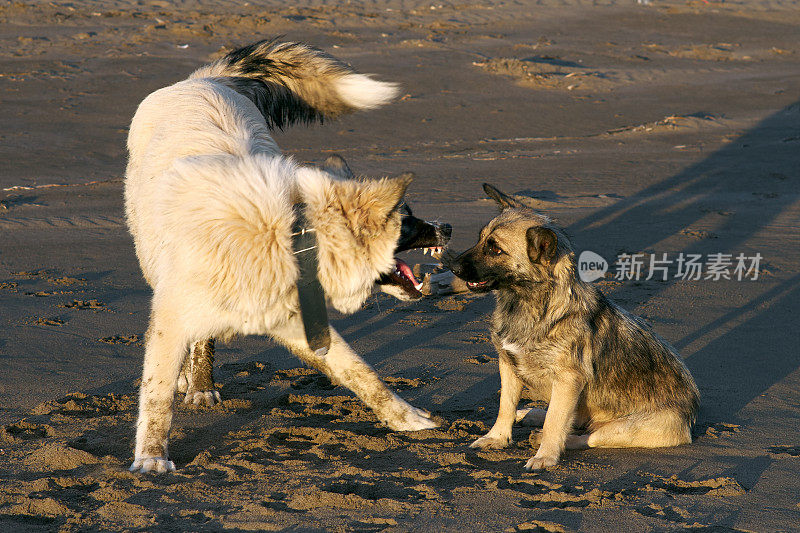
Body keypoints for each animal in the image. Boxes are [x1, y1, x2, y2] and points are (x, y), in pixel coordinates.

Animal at [446, 184, 696, 470]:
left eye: (496, 249)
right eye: (480, 240)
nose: (451, 267)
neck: (530, 306)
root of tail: (691, 416)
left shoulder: (567, 380)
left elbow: (555, 423)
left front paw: (545, 456)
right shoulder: (507, 365)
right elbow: (505, 407)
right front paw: (496, 438)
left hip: (625, 428)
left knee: (586, 435)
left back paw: (544, 437)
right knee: (570, 420)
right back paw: (531, 414)